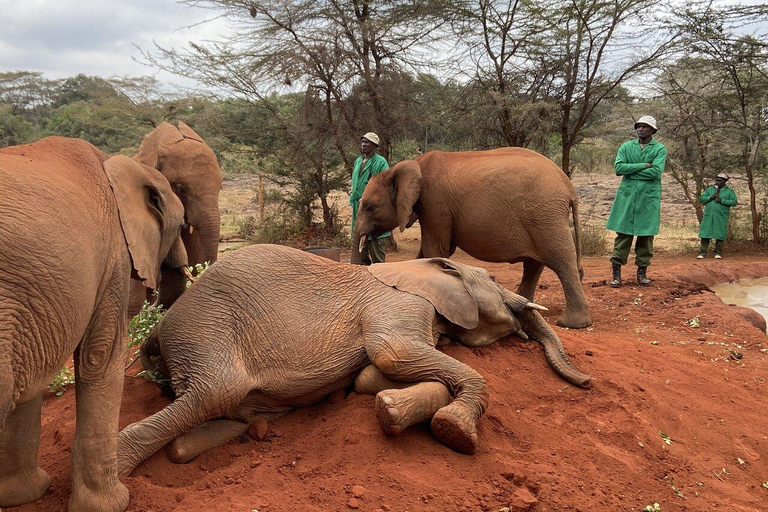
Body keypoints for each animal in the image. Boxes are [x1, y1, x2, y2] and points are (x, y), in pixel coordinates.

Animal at [0, 136, 186, 512]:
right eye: (180, 224)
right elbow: (99, 360)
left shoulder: (31, 305)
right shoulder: (114, 258)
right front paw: (114, 504)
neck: (122, 164)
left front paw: (23, 496)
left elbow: (33, 381)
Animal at [117, 244, 592, 476]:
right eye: (493, 277)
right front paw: (454, 431)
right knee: (213, 392)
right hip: (205, 332)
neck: (422, 267)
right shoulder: (397, 304)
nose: (587, 382)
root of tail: (158, 328)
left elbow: (368, 376)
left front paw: (392, 408)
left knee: (222, 414)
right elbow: (393, 354)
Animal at [354, 148, 592, 328]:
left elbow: (436, 249)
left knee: (561, 261)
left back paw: (571, 323)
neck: (405, 167)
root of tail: (569, 187)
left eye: (369, 207)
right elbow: (430, 252)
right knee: (535, 264)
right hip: (542, 216)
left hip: (545, 215)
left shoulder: (434, 203)